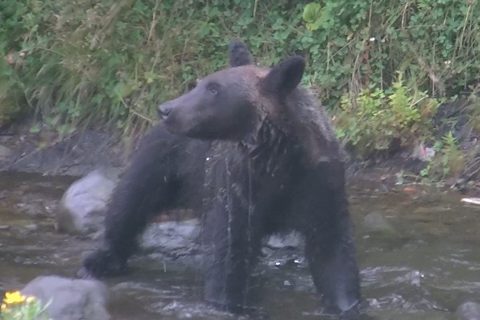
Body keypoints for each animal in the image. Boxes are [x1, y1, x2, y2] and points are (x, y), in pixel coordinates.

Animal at [80, 40, 362, 318]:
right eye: (202, 84)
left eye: (214, 88)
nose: (167, 110)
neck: (277, 157)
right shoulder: (237, 185)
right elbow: (227, 253)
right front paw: (228, 304)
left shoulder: (318, 183)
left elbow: (332, 252)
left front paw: (347, 304)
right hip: (165, 163)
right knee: (131, 200)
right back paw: (101, 260)